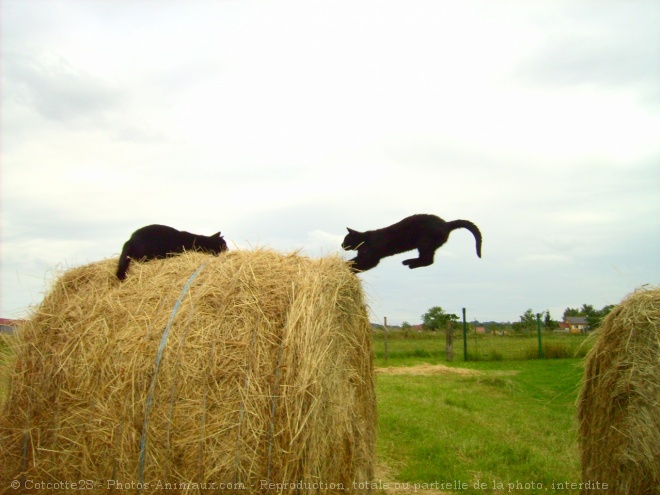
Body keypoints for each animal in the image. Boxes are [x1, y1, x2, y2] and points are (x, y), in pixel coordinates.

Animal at [342, 213, 482, 274]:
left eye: (346, 239)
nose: (342, 245)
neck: (364, 240)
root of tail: (446, 224)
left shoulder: (370, 258)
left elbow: (356, 263)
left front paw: (348, 268)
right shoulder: (366, 257)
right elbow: (355, 261)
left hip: (424, 243)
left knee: (427, 260)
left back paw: (409, 263)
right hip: (428, 246)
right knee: (428, 260)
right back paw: (409, 263)